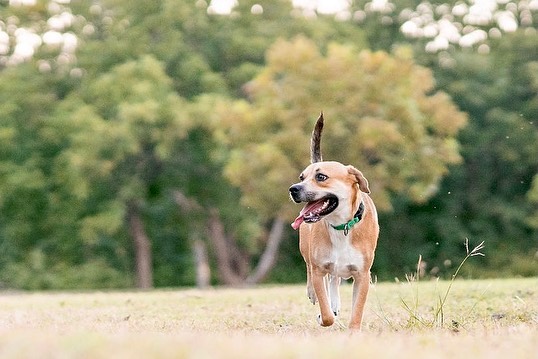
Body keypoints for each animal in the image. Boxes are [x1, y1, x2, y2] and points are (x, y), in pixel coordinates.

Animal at [286, 114, 378, 330]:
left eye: (321, 177)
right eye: (302, 177)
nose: (294, 188)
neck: (340, 226)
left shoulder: (363, 275)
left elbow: (357, 311)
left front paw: (353, 330)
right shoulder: (319, 269)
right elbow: (326, 312)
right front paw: (324, 315)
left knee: (335, 280)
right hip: (306, 249)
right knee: (311, 270)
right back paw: (315, 295)